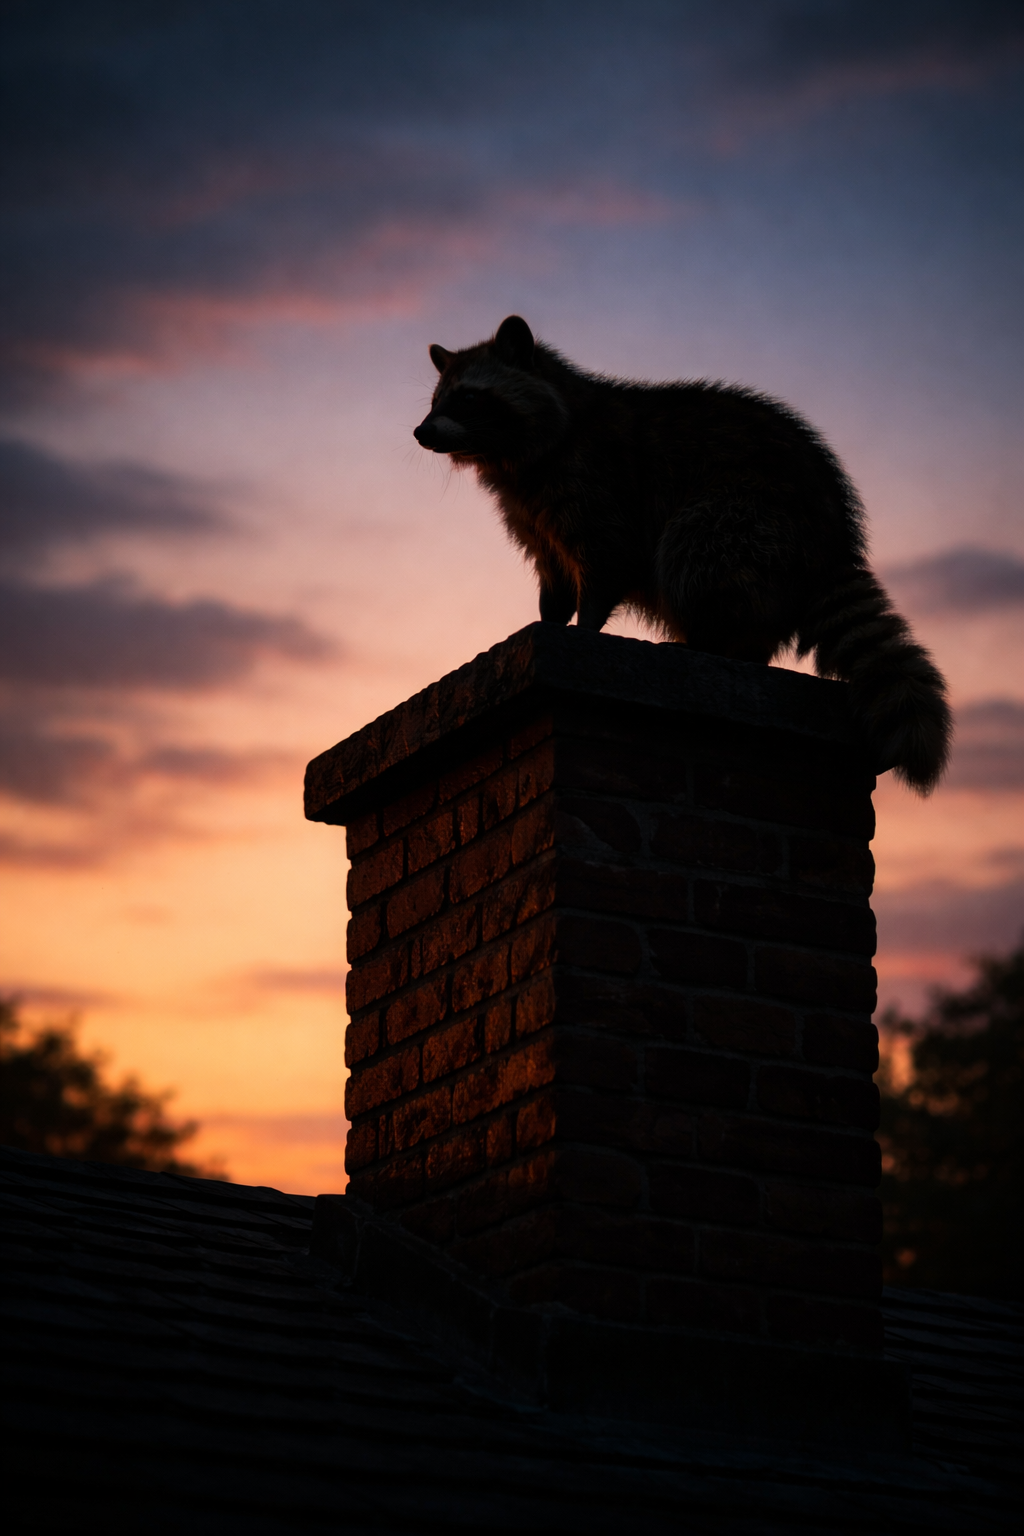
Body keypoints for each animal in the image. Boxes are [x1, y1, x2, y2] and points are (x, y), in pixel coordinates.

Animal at [414, 315, 951, 793]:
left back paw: (707, 639)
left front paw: (585, 628)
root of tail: (833, 532)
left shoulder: (598, 482)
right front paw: (550, 619)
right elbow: (555, 576)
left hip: (753, 516)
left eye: (468, 397)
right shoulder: (533, 516)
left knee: (693, 550)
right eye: (437, 400)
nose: (421, 433)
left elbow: (605, 561)